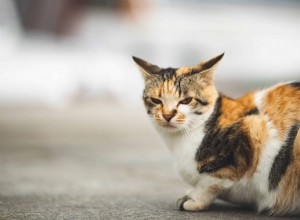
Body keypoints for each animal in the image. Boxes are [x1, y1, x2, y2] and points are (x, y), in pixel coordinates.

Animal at [134, 52, 300, 215]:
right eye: (156, 100)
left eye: (186, 100)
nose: (167, 115)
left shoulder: (251, 132)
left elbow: (210, 182)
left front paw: (194, 200)